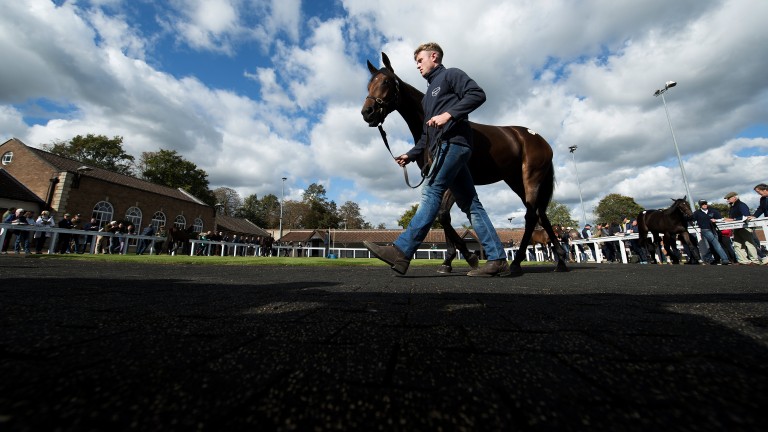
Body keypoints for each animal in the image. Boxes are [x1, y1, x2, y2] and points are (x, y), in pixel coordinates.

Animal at [362, 52, 567, 276]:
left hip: (531, 178)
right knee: (540, 213)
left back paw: (516, 262)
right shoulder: (446, 179)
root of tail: (539, 139)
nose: (367, 112)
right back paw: (560, 261)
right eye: (369, 85)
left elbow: (443, 215)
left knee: (531, 215)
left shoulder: (450, 174)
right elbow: (442, 216)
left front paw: (470, 257)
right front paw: (448, 262)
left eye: (386, 81)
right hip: (515, 181)